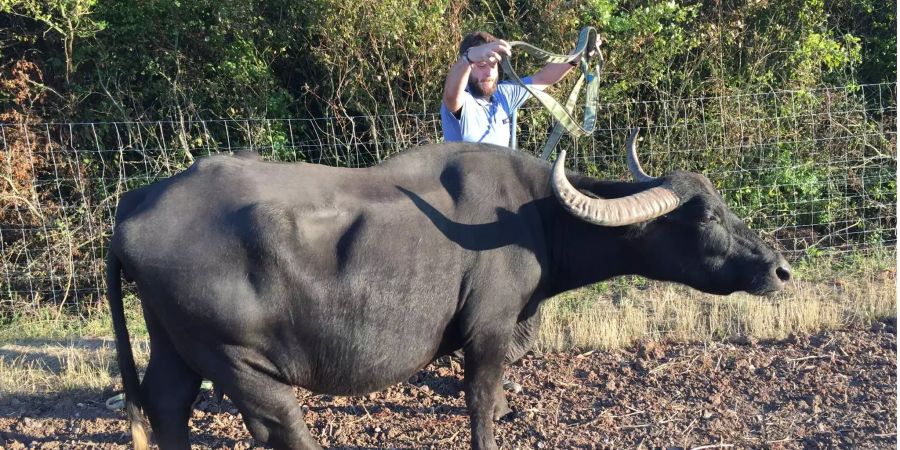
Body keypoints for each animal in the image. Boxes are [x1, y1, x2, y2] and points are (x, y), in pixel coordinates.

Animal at [109, 128, 792, 448]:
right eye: (706, 216)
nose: (781, 269)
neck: (534, 216)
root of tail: (137, 206)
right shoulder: (487, 329)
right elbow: (480, 403)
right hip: (237, 359)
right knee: (282, 425)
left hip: (174, 346)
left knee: (167, 405)